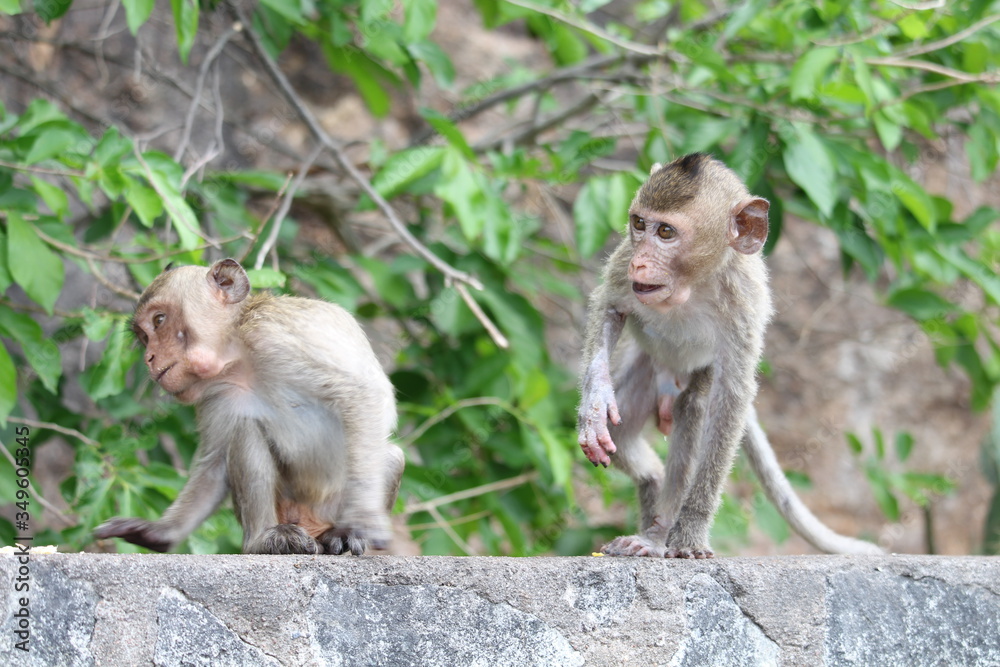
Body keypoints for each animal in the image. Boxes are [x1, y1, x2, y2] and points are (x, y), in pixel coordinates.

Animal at [94, 260, 402, 560]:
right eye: (143, 337)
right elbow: (215, 465)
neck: (239, 356)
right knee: (245, 430)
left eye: (159, 320)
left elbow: (359, 395)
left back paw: (339, 535)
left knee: (392, 455)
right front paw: (159, 532)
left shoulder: (271, 336)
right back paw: (266, 539)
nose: (149, 357)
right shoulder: (215, 394)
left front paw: (363, 517)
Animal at [580, 155, 884, 560]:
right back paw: (653, 482)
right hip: (646, 367)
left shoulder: (743, 300)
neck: (691, 284)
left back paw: (659, 532)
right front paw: (595, 403)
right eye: (639, 224)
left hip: (694, 374)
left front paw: (690, 533)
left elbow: (730, 401)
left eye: (666, 233)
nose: (640, 264)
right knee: (625, 431)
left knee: (694, 408)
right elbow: (610, 306)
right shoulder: (621, 260)